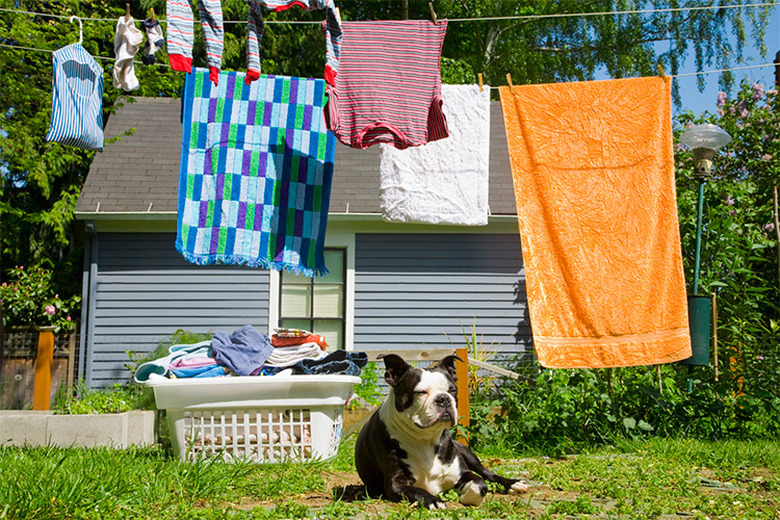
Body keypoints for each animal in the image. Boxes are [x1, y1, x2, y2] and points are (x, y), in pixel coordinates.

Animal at [354, 354, 528, 508]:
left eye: (453, 390)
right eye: (421, 392)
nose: (443, 398)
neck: (425, 438)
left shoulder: (461, 473)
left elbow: (480, 484)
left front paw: (466, 497)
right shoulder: (396, 484)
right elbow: (417, 491)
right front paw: (434, 501)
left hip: (466, 452)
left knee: (487, 474)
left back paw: (513, 483)